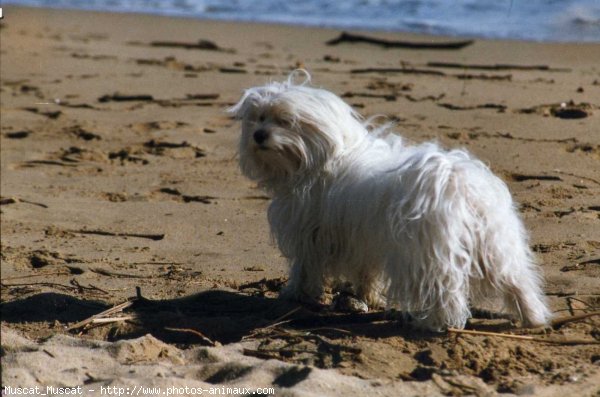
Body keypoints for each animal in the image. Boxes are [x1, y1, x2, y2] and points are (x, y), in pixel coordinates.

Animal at [231, 72, 552, 332]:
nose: (259, 135)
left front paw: (295, 295)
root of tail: (459, 185)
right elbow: (366, 272)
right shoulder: (363, 240)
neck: (326, 156)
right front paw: (367, 296)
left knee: (445, 293)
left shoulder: (310, 234)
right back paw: (533, 317)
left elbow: (304, 268)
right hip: (496, 245)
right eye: (258, 117)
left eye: (285, 121)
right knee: (517, 282)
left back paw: (433, 323)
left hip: (430, 254)